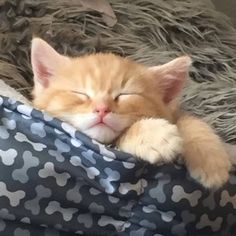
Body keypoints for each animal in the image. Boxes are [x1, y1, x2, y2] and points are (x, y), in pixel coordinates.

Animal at [30, 37, 230, 188]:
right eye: (81, 94)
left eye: (125, 95)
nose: (102, 108)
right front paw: (156, 136)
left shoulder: (175, 113)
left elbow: (190, 121)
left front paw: (210, 159)